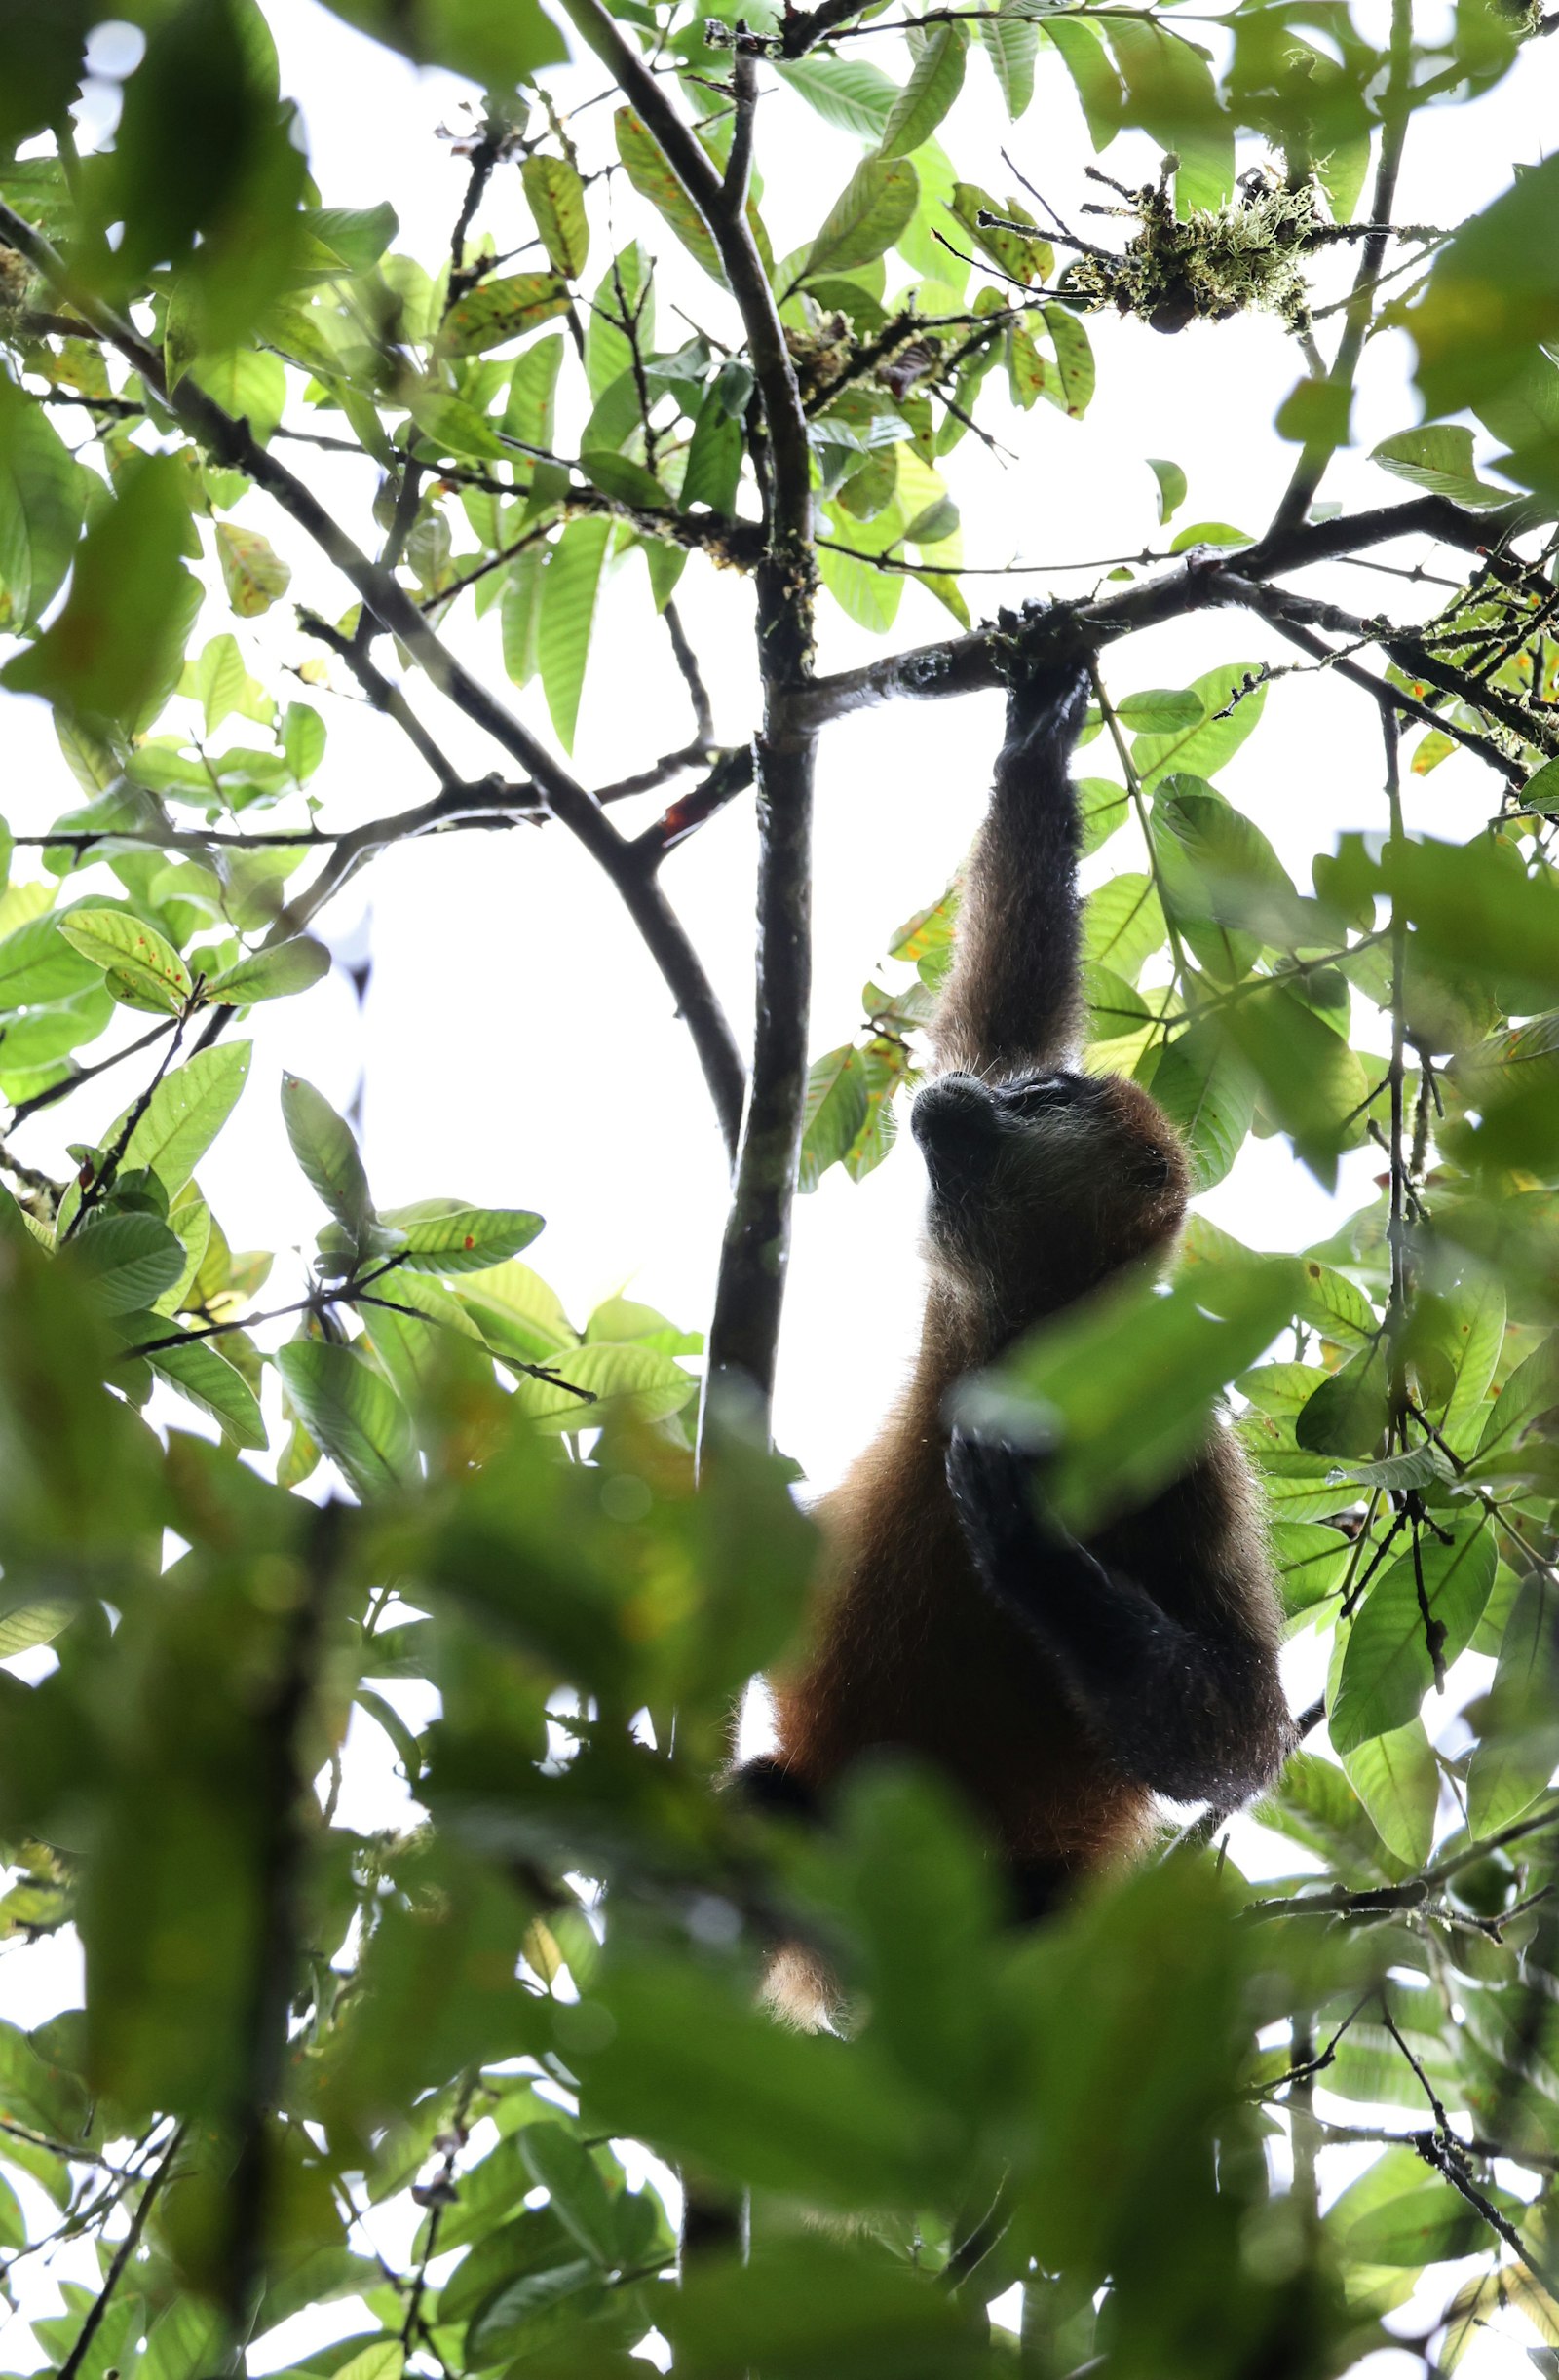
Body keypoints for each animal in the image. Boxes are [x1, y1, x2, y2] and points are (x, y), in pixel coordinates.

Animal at [732, 649, 1295, 1965]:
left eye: (1042, 1103)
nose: (962, 1100)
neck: (1030, 1345)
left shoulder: (1183, 1448)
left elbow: (1247, 1726)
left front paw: (1039, 1562)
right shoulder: (958, 1306)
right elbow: (999, 991)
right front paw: (1037, 728)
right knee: (757, 1807)